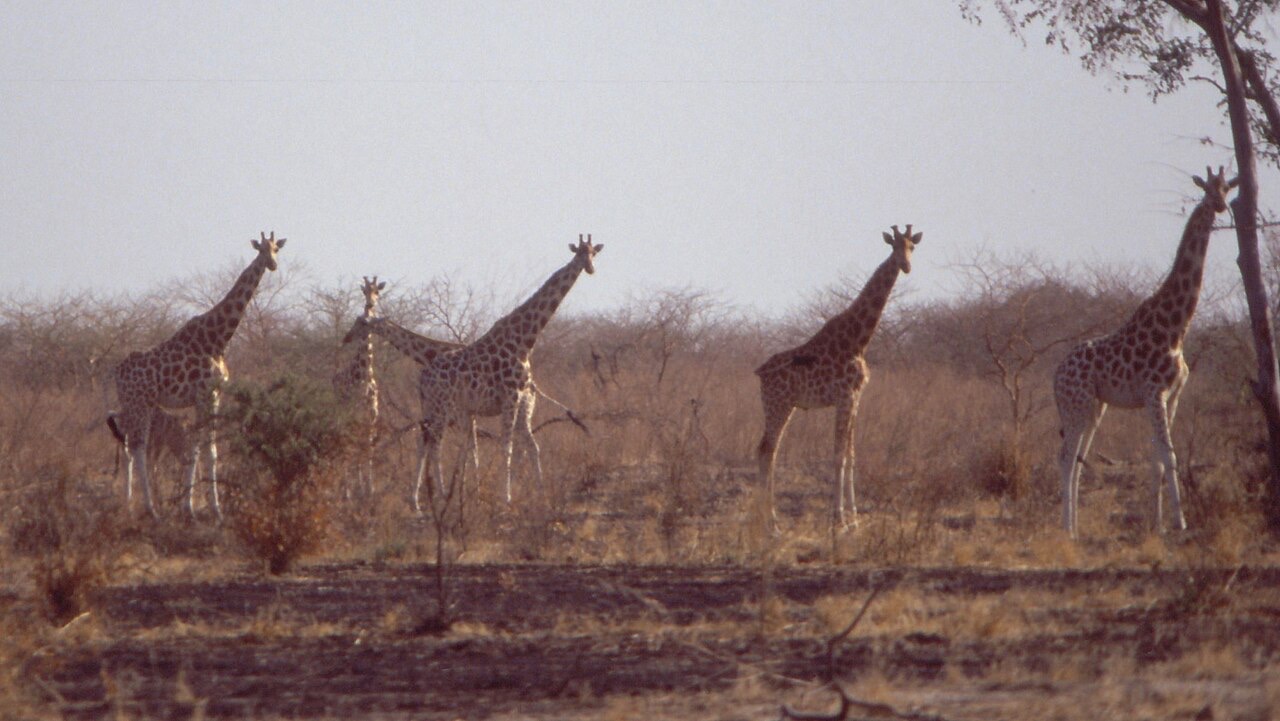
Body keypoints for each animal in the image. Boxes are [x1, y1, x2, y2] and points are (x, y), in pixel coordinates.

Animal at [112, 231, 286, 519]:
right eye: (260, 249)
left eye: (276, 249)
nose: (272, 265)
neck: (218, 339)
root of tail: (117, 372)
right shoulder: (208, 394)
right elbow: (209, 451)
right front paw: (214, 509)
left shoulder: (205, 398)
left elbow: (197, 449)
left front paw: (191, 507)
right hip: (141, 404)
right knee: (138, 448)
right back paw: (150, 509)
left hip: (130, 405)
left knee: (127, 448)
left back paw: (128, 504)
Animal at [418, 234, 602, 507]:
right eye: (579, 252)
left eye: (594, 253)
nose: (589, 268)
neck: (524, 341)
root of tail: (421, 378)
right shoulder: (510, 397)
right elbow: (508, 446)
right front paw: (506, 498)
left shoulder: (519, 397)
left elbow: (521, 446)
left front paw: (536, 494)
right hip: (442, 407)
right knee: (435, 445)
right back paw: (441, 496)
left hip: (433, 408)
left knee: (426, 443)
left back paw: (428, 498)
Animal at [756, 224, 922, 531]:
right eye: (894, 247)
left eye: (912, 247)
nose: (905, 266)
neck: (859, 341)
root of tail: (759, 373)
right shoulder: (844, 397)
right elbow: (837, 457)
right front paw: (839, 518)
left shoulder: (856, 399)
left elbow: (851, 455)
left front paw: (854, 517)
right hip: (777, 405)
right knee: (767, 450)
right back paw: (771, 522)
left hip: (787, 406)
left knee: (767, 450)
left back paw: (767, 519)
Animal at [1055, 167, 1237, 539]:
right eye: (1207, 188)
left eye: (1227, 187)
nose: (1221, 205)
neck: (1177, 327)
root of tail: (1054, 376)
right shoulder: (1154, 393)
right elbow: (1170, 456)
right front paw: (1181, 523)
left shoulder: (1172, 396)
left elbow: (1157, 459)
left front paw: (1158, 523)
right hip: (1075, 405)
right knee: (1065, 459)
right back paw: (1067, 530)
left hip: (1094, 408)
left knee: (1077, 460)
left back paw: (1076, 527)